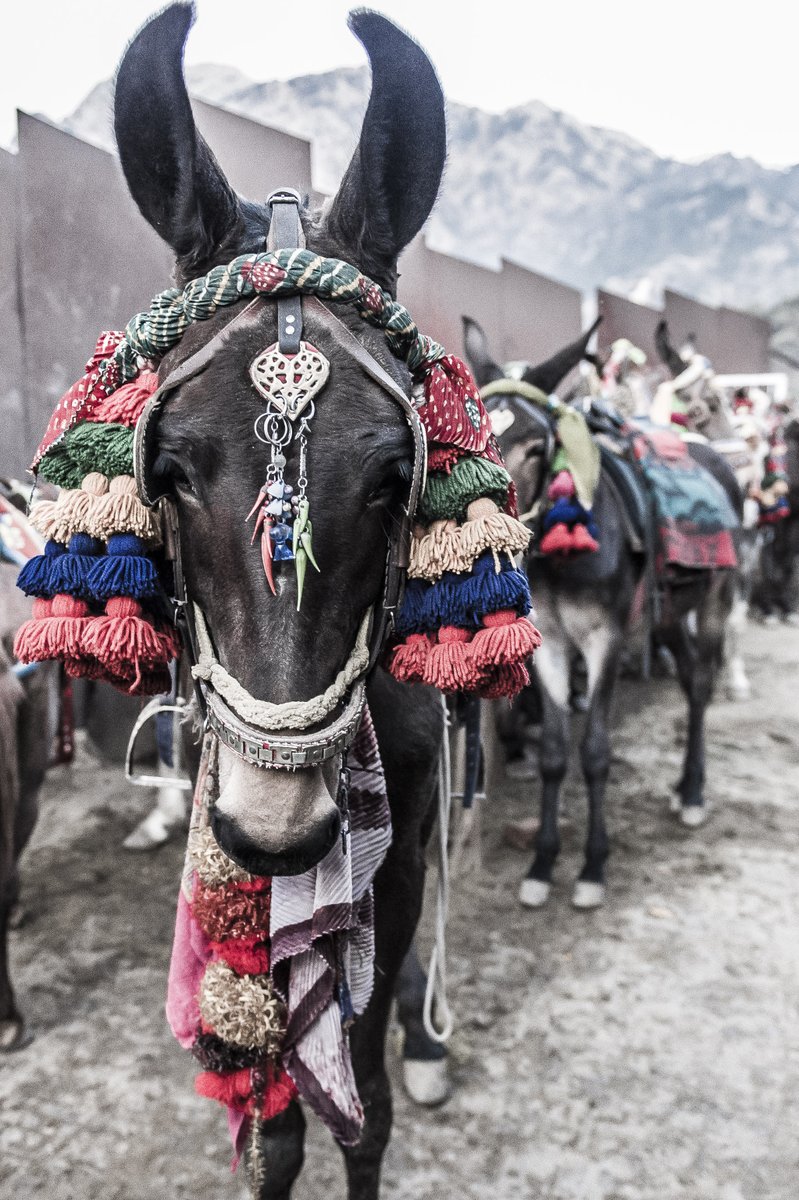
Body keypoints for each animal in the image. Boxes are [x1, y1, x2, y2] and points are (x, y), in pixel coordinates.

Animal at [109, 8, 451, 1196]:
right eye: (168, 470)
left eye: (394, 476)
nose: (276, 831)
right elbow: (278, 1122)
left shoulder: (394, 853)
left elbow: (362, 1099)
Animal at [463, 317, 741, 909]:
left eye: (537, 447)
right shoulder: (550, 642)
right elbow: (553, 753)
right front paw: (542, 864)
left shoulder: (605, 639)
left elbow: (593, 751)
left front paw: (592, 867)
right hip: (665, 614)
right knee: (688, 674)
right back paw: (681, 786)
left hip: (716, 598)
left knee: (702, 685)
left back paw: (694, 792)